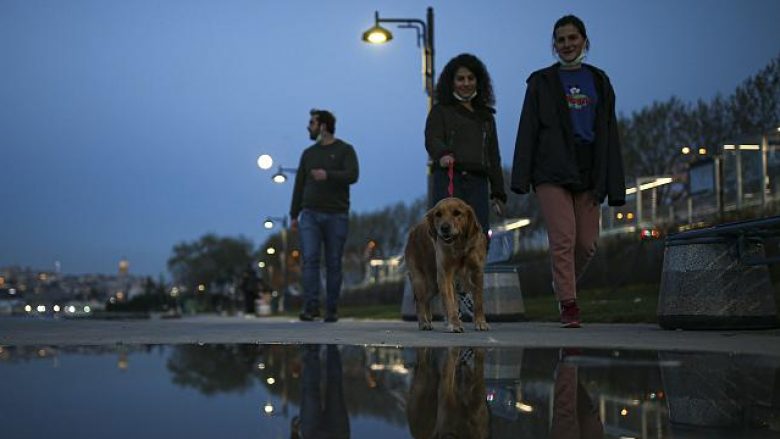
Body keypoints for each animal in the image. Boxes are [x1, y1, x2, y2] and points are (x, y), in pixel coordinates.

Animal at [408, 198, 488, 332]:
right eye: (438, 214)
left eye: (457, 213)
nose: (444, 228)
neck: (459, 246)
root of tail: (413, 231)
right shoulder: (445, 274)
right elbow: (450, 303)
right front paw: (454, 324)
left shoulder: (477, 272)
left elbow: (479, 301)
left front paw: (480, 322)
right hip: (421, 279)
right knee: (420, 301)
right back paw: (423, 323)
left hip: (433, 285)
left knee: (426, 300)